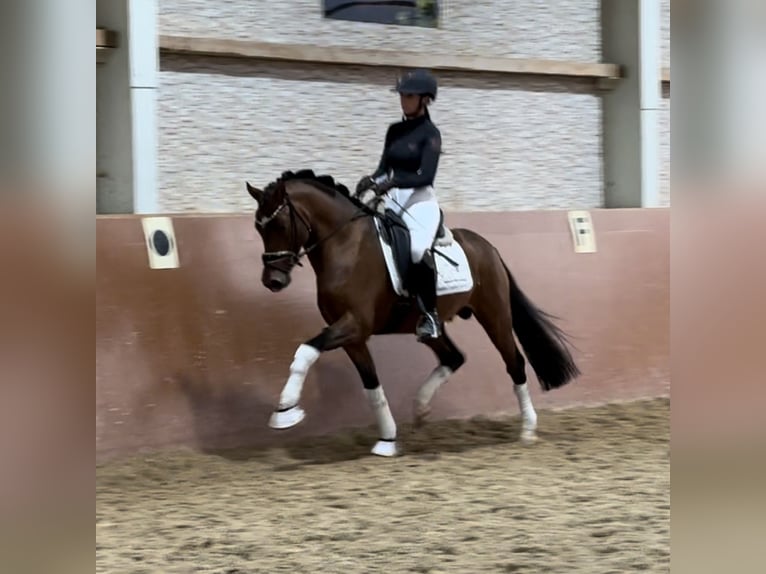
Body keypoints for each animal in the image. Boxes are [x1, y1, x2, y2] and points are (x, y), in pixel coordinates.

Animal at [248, 171, 584, 460]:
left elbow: (304, 351)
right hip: (431, 326)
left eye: (279, 225)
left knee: (514, 362)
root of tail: (487, 247)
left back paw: (527, 429)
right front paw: (387, 440)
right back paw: (420, 408)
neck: (346, 245)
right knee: (453, 357)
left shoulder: (354, 324)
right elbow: (372, 386)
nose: (273, 281)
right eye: (258, 227)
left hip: (495, 315)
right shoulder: (351, 336)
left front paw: (286, 411)